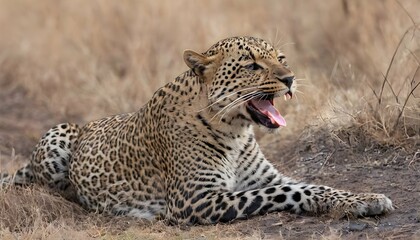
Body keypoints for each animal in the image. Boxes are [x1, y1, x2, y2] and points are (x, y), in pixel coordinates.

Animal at [0, 36, 394, 225]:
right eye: (252, 65)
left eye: (280, 58)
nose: (290, 78)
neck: (237, 132)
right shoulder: (196, 199)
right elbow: (285, 194)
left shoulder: (267, 178)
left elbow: (311, 186)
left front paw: (365, 198)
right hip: (58, 135)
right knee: (50, 187)